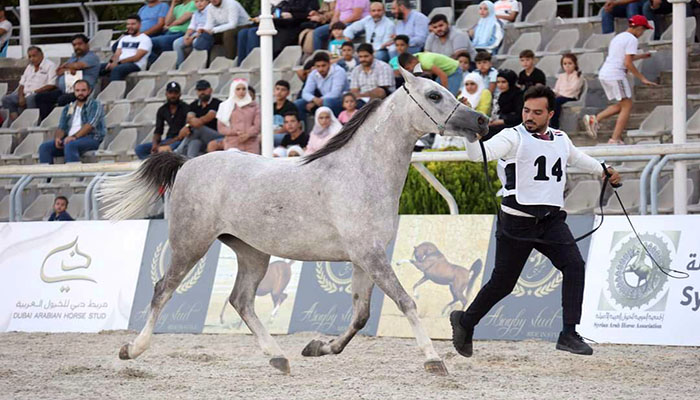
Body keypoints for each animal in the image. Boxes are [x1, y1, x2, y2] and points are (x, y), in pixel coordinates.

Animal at [100, 68, 486, 376]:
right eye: (434, 95)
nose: (480, 121)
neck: (360, 172)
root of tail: (187, 163)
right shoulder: (372, 257)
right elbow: (406, 302)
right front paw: (434, 359)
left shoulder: (365, 259)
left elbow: (361, 314)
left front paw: (319, 348)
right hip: (191, 243)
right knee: (163, 289)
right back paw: (131, 350)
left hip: (252, 252)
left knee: (240, 300)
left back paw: (278, 357)